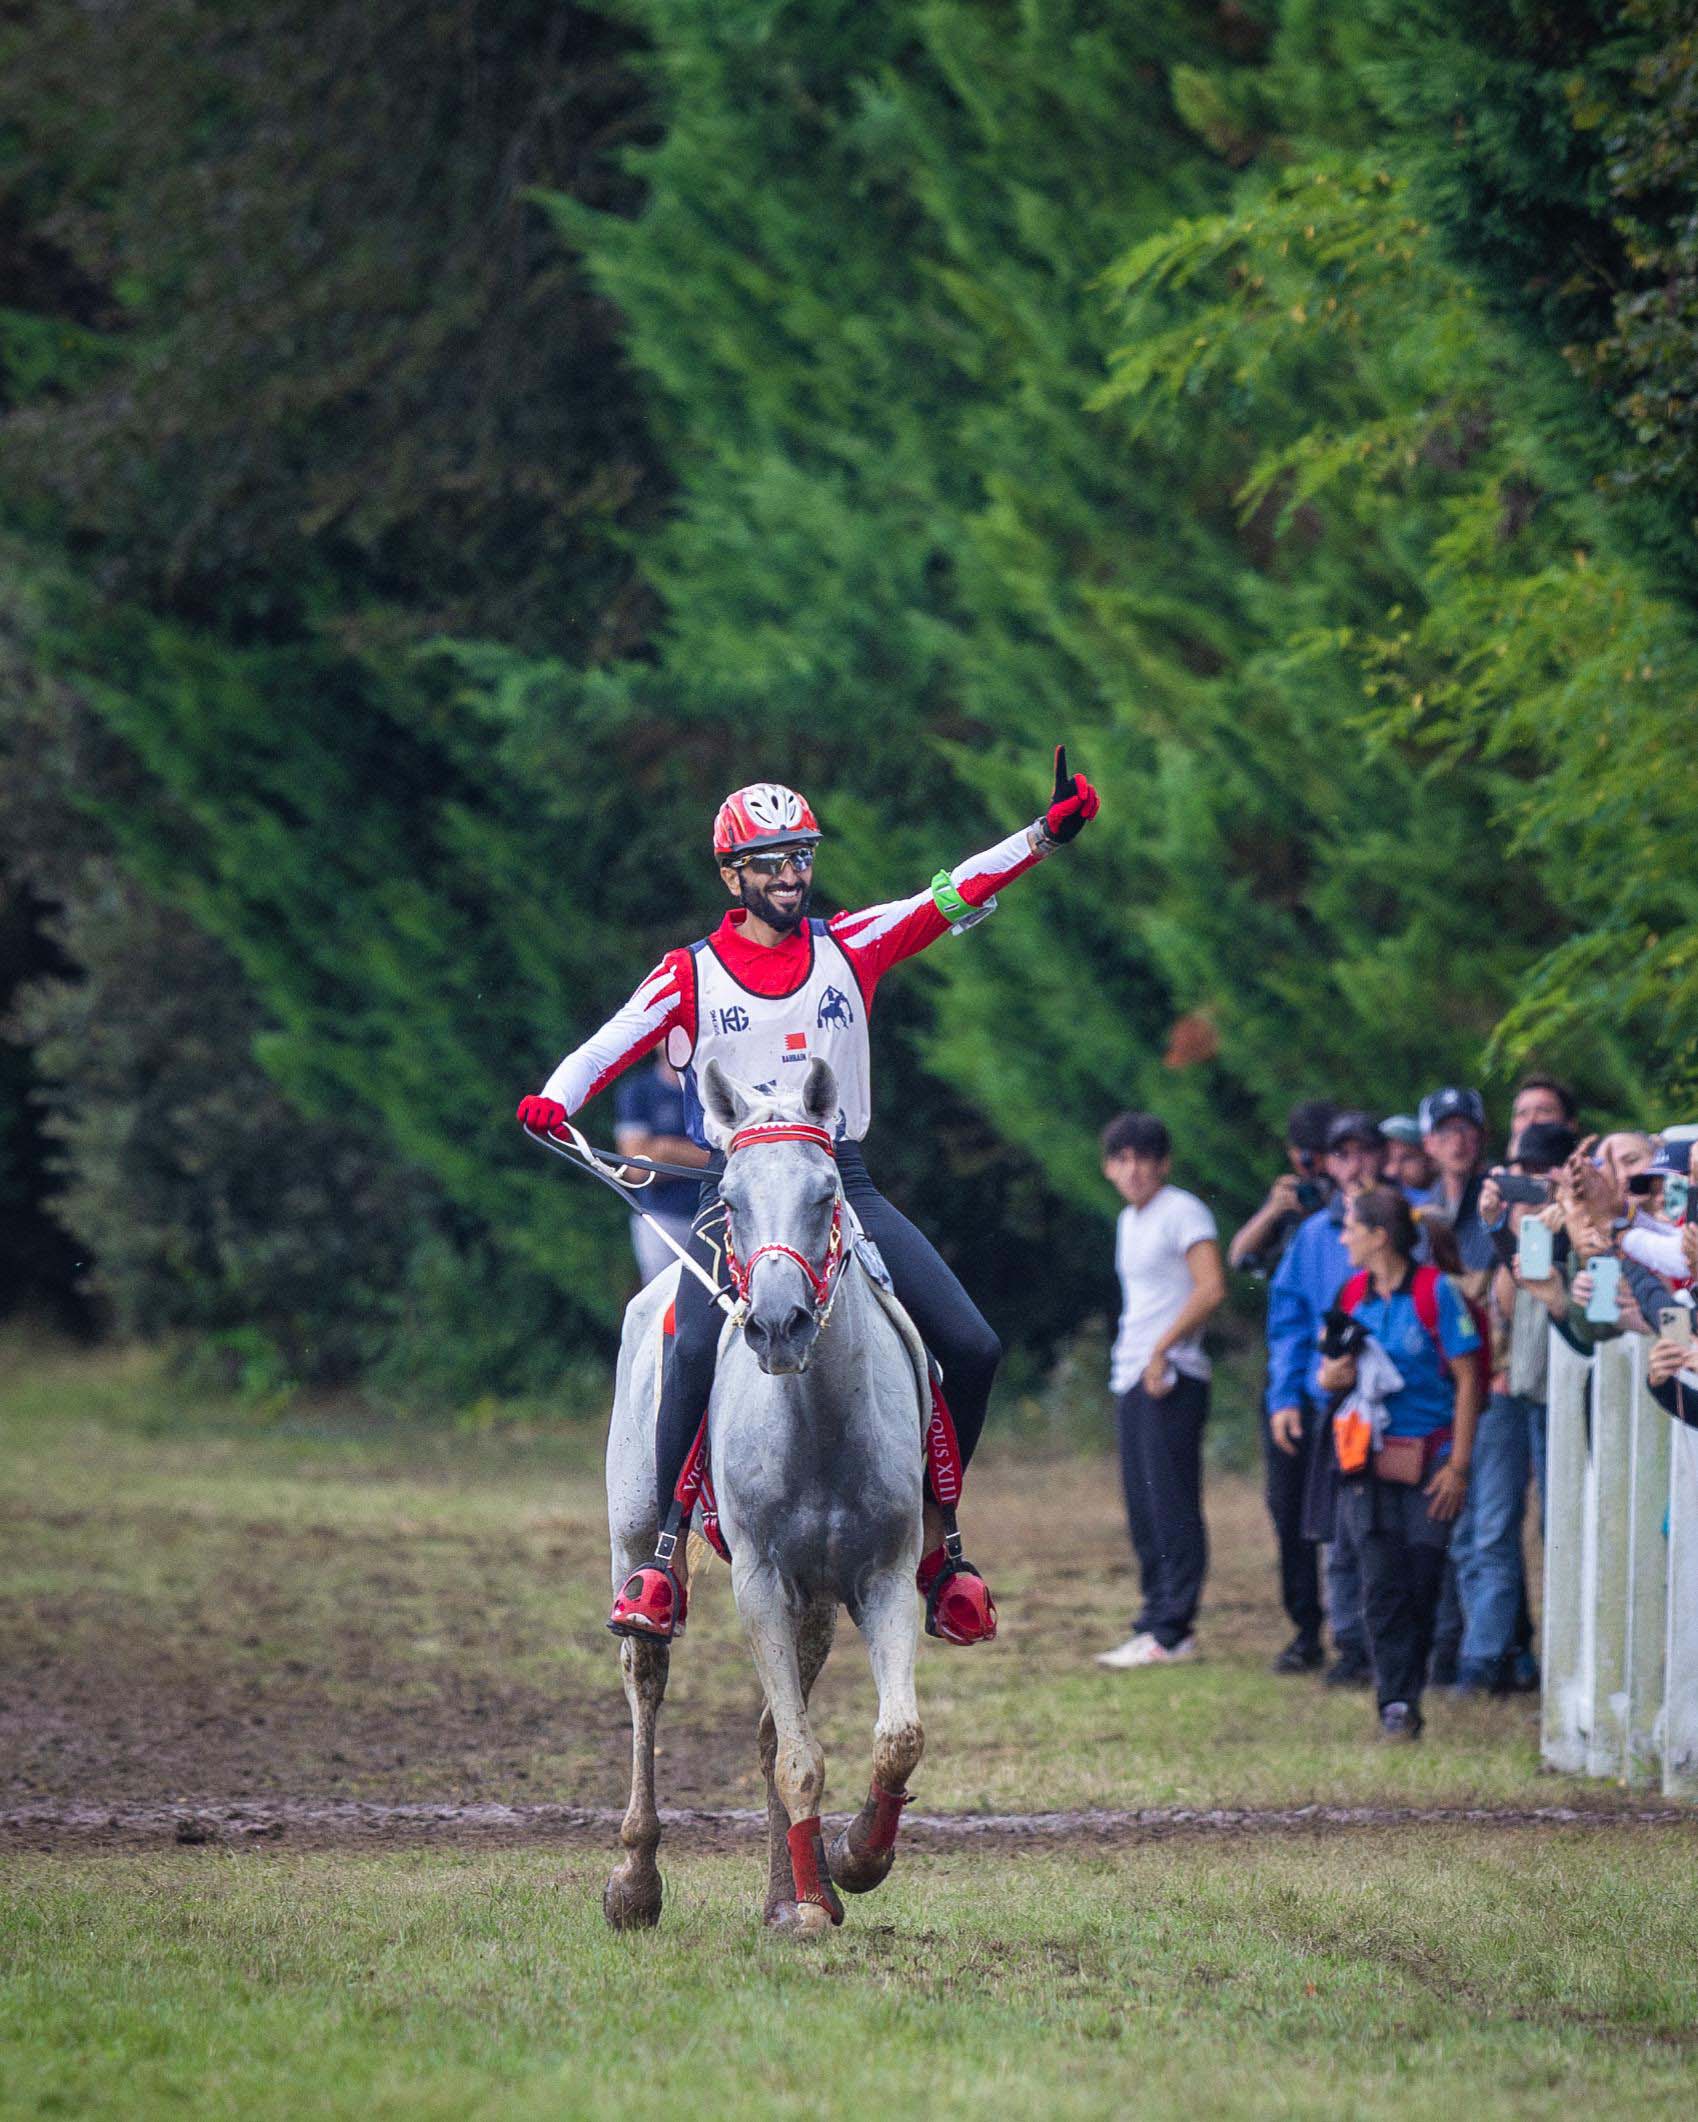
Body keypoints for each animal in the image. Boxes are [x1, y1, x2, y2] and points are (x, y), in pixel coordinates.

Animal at [602, 1055, 931, 1937]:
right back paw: (635, 1880)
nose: (779, 1325)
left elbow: (894, 1738)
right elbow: (798, 1758)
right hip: (635, 1534)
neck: (816, 1427)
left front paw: (853, 1862)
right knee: (646, 1672)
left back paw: (789, 1891)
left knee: (769, 1728)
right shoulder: (759, 1583)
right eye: (734, 1197)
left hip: (815, 1601)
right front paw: (822, 1900)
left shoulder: (883, 1578)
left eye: (827, 1192)